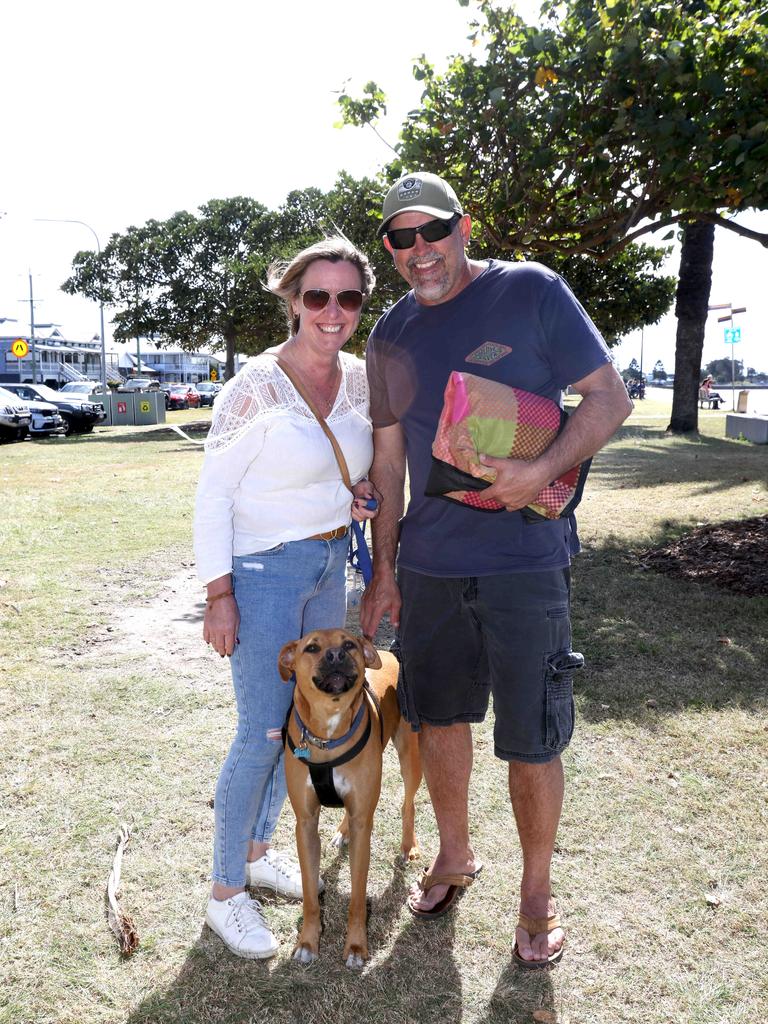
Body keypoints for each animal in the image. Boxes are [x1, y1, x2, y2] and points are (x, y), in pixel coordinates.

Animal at [278, 622, 423, 966]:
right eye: (312, 647)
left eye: (349, 644)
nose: (336, 654)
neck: (328, 733)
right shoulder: (305, 823)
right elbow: (309, 893)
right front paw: (308, 941)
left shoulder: (363, 825)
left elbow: (357, 897)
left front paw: (356, 946)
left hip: (411, 758)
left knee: (408, 803)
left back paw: (408, 846)